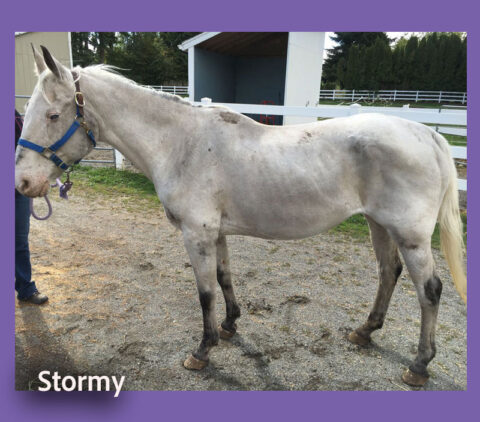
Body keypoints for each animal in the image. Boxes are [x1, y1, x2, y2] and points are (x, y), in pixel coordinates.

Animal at [15, 46, 466, 388]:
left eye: (53, 115)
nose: (23, 182)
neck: (182, 144)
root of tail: (428, 134)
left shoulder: (196, 234)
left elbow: (204, 293)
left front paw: (202, 351)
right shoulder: (215, 232)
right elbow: (224, 278)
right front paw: (230, 326)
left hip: (410, 235)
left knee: (429, 291)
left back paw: (419, 365)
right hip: (379, 225)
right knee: (388, 273)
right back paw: (364, 332)